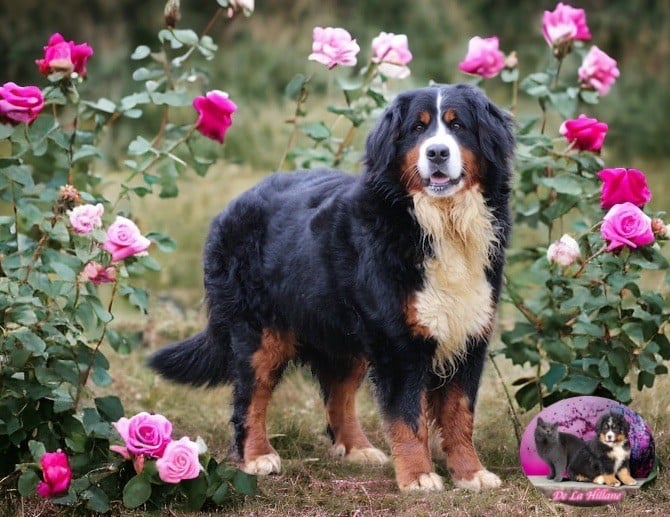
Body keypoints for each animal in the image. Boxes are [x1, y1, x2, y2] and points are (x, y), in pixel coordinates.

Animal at [150, 82, 516, 490]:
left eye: (458, 125)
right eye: (418, 129)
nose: (437, 152)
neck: (438, 225)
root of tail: (231, 205)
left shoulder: (469, 335)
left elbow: (459, 415)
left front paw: (471, 474)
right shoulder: (398, 343)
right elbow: (408, 418)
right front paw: (419, 477)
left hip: (342, 332)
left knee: (338, 394)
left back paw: (358, 448)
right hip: (259, 333)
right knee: (250, 397)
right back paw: (257, 456)